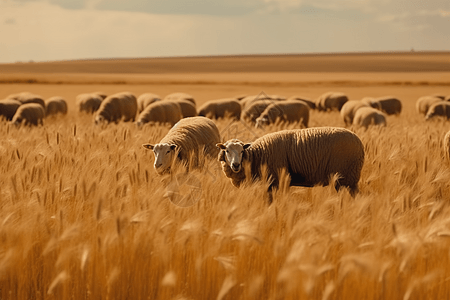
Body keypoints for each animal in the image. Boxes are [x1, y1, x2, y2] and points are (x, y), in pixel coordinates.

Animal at [217, 127, 366, 203]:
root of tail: (359, 141)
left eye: (242, 151)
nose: (236, 165)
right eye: (227, 150)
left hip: (347, 177)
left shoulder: (275, 181)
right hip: (346, 179)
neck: (257, 156)